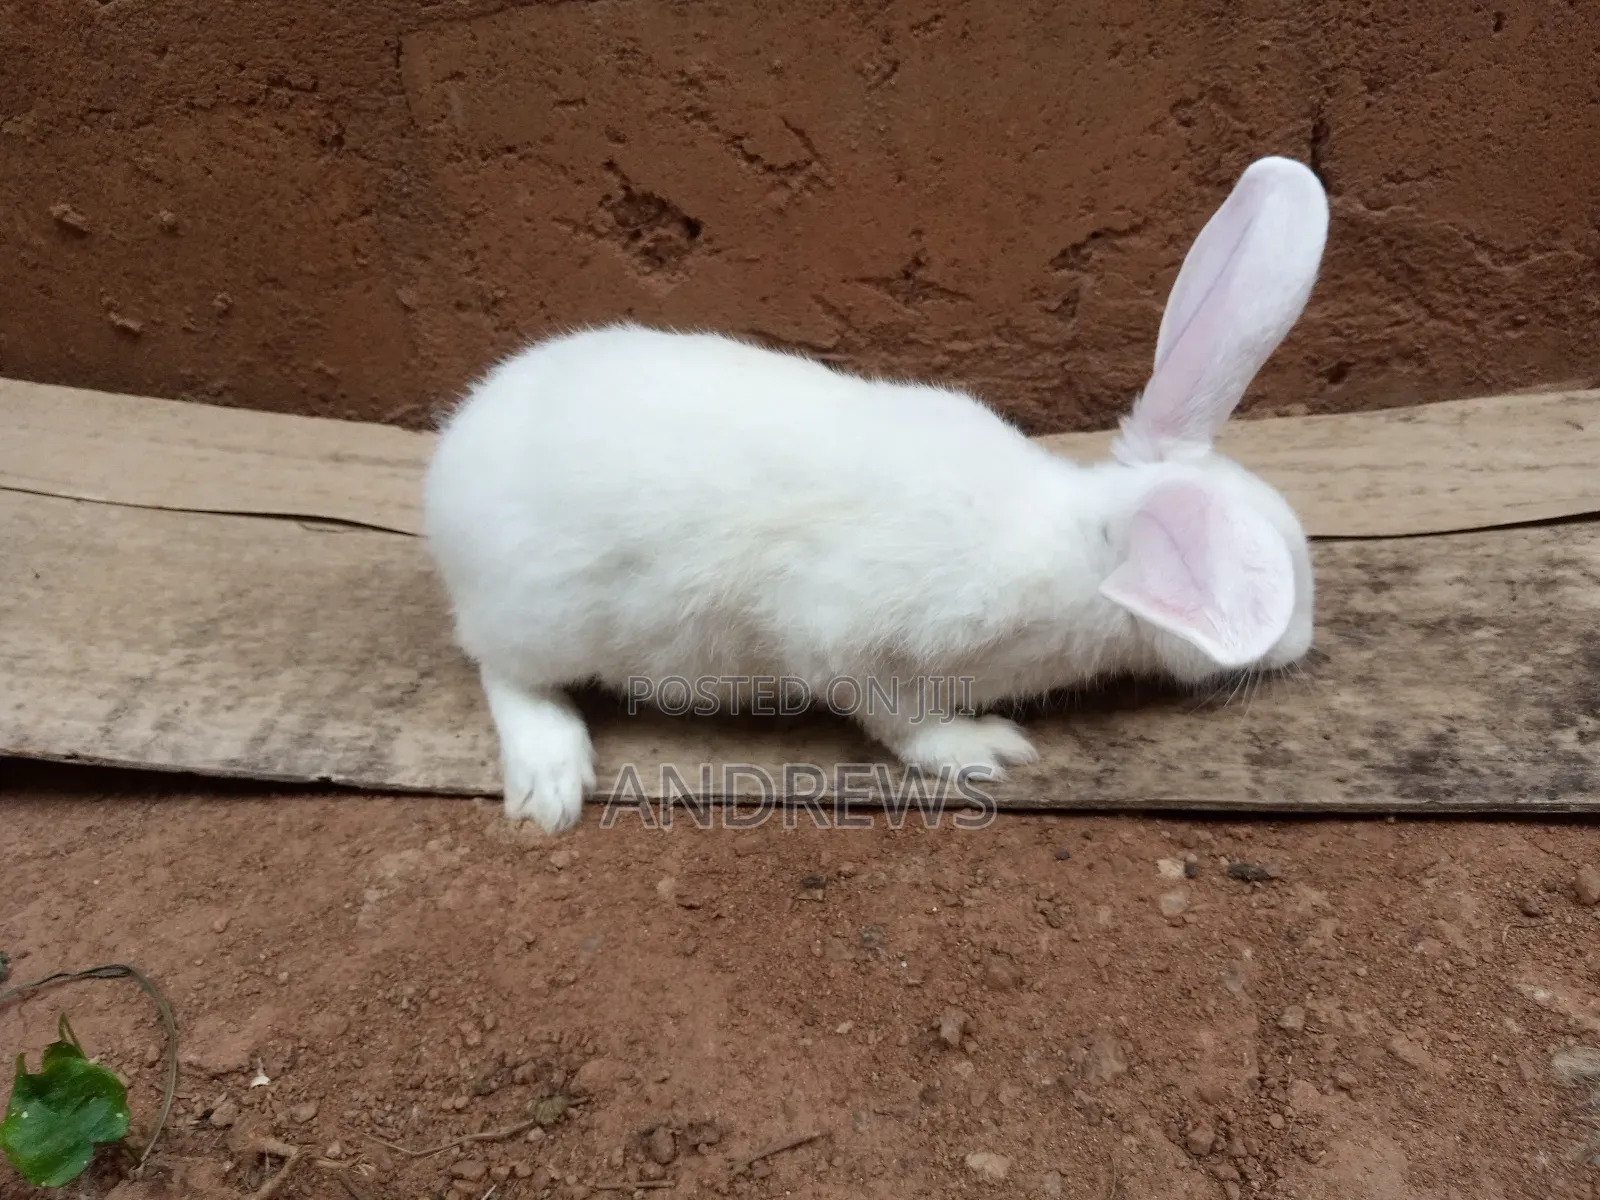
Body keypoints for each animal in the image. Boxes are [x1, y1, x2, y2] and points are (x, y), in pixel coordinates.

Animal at [422, 154, 1329, 833]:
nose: (1303, 643)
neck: (1078, 550)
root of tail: (445, 477)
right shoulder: (855, 643)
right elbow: (901, 720)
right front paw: (982, 749)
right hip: (539, 618)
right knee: (502, 670)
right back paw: (552, 776)